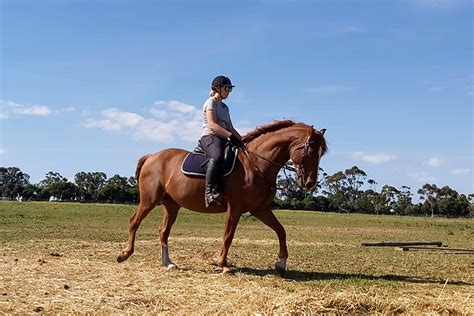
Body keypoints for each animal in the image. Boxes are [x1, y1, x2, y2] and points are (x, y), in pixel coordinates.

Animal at [116, 119, 328, 276]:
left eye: (321, 153)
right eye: (310, 149)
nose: (309, 183)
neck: (255, 164)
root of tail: (152, 156)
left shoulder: (260, 210)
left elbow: (281, 231)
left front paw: (281, 263)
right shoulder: (235, 208)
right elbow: (228, 236)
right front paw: (224, 265)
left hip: (172, 206)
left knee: (163, 231)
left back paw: (168, 263)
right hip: (149, 201)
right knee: (134, 221)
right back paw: (125, 254)